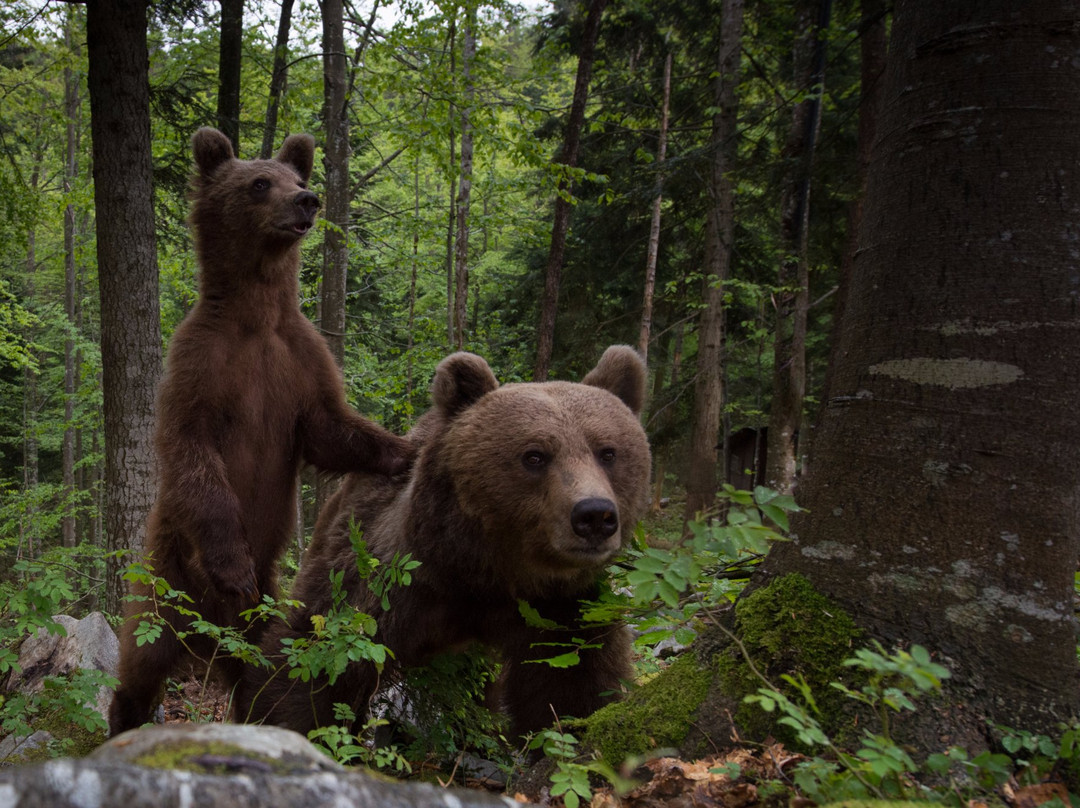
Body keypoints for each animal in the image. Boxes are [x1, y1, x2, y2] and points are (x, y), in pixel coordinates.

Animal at [108, 128, 412, 738]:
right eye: (259, 182)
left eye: (296, 176)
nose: (308, 201)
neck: (258, 319)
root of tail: (208, 635)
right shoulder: (200, 364)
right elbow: (193, 451)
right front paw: (232, 565)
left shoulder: (301, 361)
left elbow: (333, 428)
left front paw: (403, 450)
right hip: (165, 581)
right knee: (142, 659)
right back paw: (124, 716)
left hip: (266, 610)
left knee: (261, 673)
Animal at [235, 347, 648, 738]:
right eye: (534, 455)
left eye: (608, 451)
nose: (594, 515)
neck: (482, 574)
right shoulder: (390, 584)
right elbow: (312, 663)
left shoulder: (561, 607)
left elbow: (571, 685)